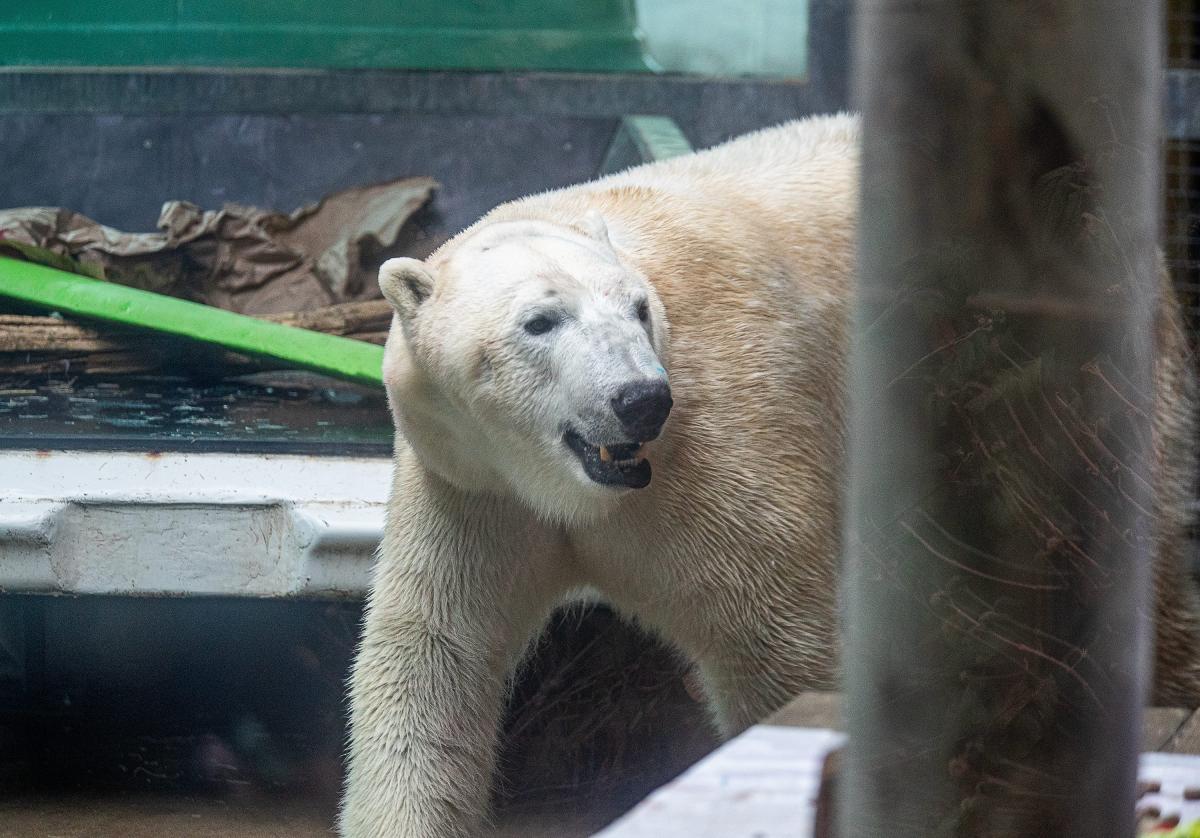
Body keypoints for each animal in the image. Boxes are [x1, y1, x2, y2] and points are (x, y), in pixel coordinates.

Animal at [336, 112, 1200, 835]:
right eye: (540, 320)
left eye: (637, 308)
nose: (640, 399)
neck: (582, 491)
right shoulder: (472, 485)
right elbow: (432, 662)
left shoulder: (725, 445)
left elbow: (780, 648)